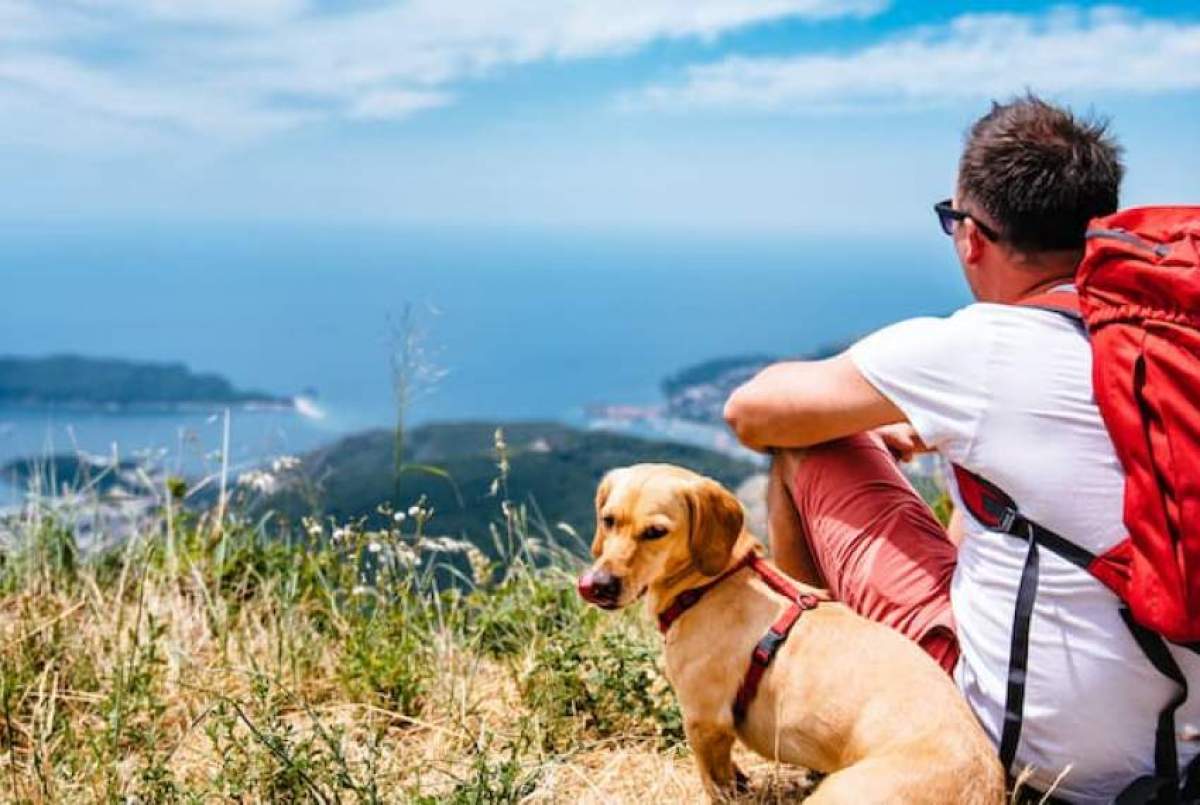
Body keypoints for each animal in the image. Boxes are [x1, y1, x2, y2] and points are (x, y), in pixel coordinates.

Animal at [578, 465, 1003, 805]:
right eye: (608, 520)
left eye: (656, 532)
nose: (595, 586)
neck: (713, 582)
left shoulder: (704, 722)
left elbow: (714, 782)